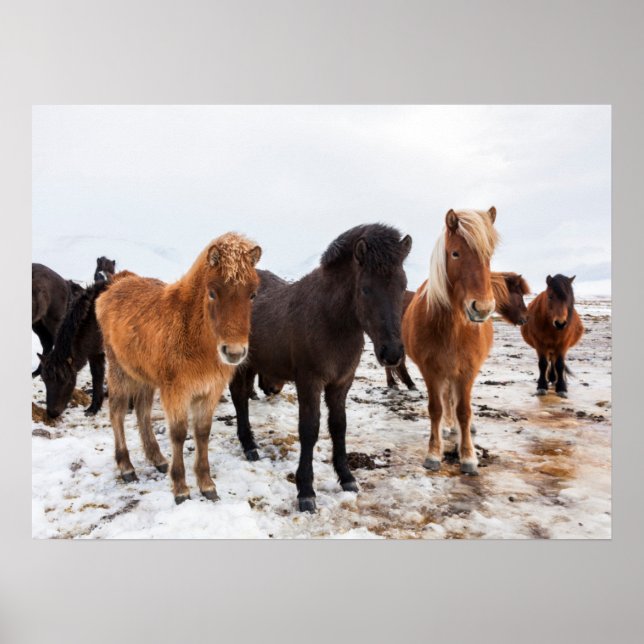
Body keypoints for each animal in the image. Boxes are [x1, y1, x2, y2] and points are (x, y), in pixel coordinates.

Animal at [39, 281, 108, 418]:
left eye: (66, 380)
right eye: (44, 380)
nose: (52, 413)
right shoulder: (95, 353)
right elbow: (97, 376)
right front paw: (93, 408)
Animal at [95, 233, 261, 504]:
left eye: (252, 294)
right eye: (212, 292)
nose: (234, 352)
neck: (192, 331)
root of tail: (117, 284)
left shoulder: (209, 391)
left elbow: (202, 432)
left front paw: (206, 484)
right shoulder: (176, 391)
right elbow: (179, 434)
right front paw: (181, 488)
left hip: (145, 377)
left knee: (142, 411)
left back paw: (157, 459)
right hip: (119, 370)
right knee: (117, 412)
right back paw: (126, 467)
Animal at [229, 224, 412, 513]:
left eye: (403, 286)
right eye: (366, 289)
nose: (392, 353)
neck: (330, 320)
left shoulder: (341, 383)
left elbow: (338, 426)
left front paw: (347, 478)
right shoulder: (309, 382)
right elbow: (310, 429)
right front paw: (306, 491)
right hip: (240, 364)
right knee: (239, 397)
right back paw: (249, 447)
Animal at [402, 207, 499, 474]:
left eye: (489, 255)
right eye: (455, 253)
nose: (482, 308)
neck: (453, 329)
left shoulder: (467, 370)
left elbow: (463, 411)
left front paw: (468, 456)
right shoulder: (431, 370)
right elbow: (436, 408)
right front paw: (434, 454)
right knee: (446, 400)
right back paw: (447, 425)